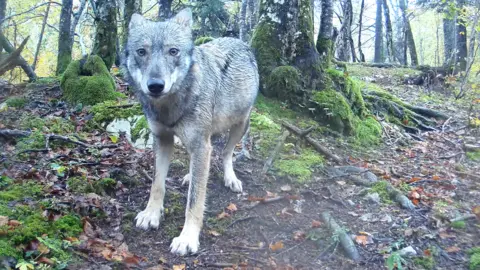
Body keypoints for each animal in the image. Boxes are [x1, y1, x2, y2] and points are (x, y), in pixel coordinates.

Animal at [124, 8, 258, 255]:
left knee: (225, 154)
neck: (170, 106)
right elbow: (157, 184)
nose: (155, 85)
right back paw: (189, 175)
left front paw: (187, 238)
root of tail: (239, 41)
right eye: (141, 52)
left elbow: (194, 200)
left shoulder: (200, 145)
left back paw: (230, 178)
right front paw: (151, 214)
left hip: (240, 126)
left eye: (173, 51)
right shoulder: (163, 140)